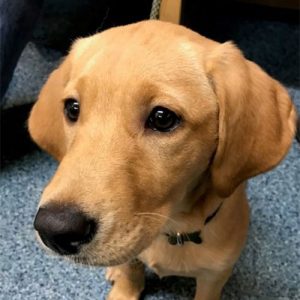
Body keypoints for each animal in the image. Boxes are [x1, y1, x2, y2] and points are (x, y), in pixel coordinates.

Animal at [29, 19, 296, 298]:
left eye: (162, 118)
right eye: (72, 109)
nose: (54, 229)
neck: (173, 229)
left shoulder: (214, 277)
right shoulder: (131, 255)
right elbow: (129, 274)